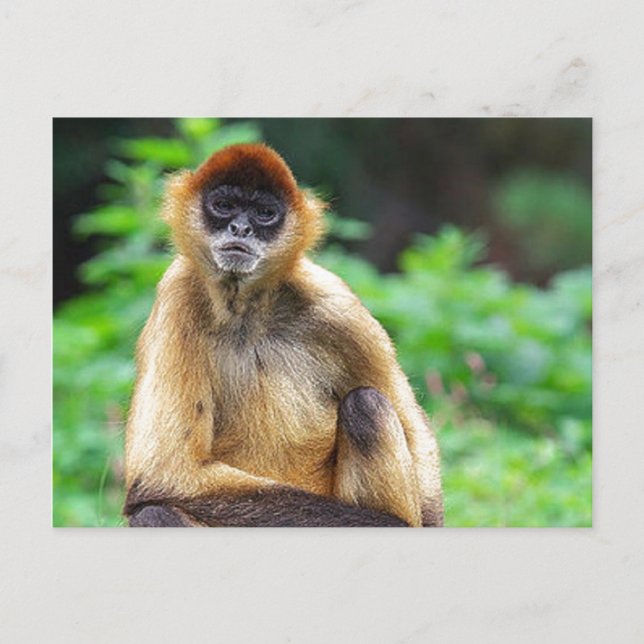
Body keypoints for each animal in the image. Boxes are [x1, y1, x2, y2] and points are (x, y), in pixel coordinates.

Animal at [123, 143, 443, 527]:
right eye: (224, 205)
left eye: (264, 213)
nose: (241, 228)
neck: (246, 315)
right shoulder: (179, 289)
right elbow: (162, 473)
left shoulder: (335, 303)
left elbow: (417, 435)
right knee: (153, 512)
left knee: (366, 403)